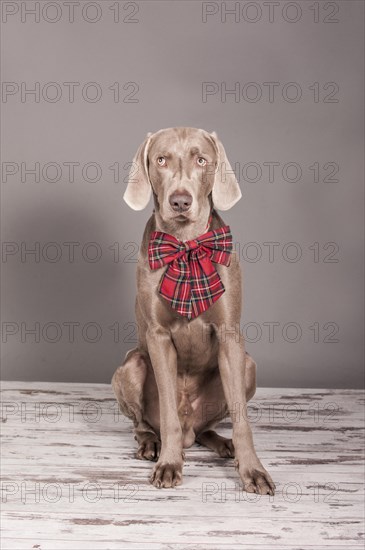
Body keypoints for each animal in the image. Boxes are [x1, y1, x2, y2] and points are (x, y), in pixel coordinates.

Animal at [112, 128, 274, 496]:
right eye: (160, 160)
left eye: (201, 160)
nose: (180, 201)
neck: (186, 244)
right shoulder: (158, 337)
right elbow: (169, 415)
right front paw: (169, 464)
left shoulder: (230, 335)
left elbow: (242, 420)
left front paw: (253, 470)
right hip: (130, 366)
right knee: (146, 423)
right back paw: (150, 444)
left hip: (248, 367)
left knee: (205, 430)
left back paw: (224, 444)